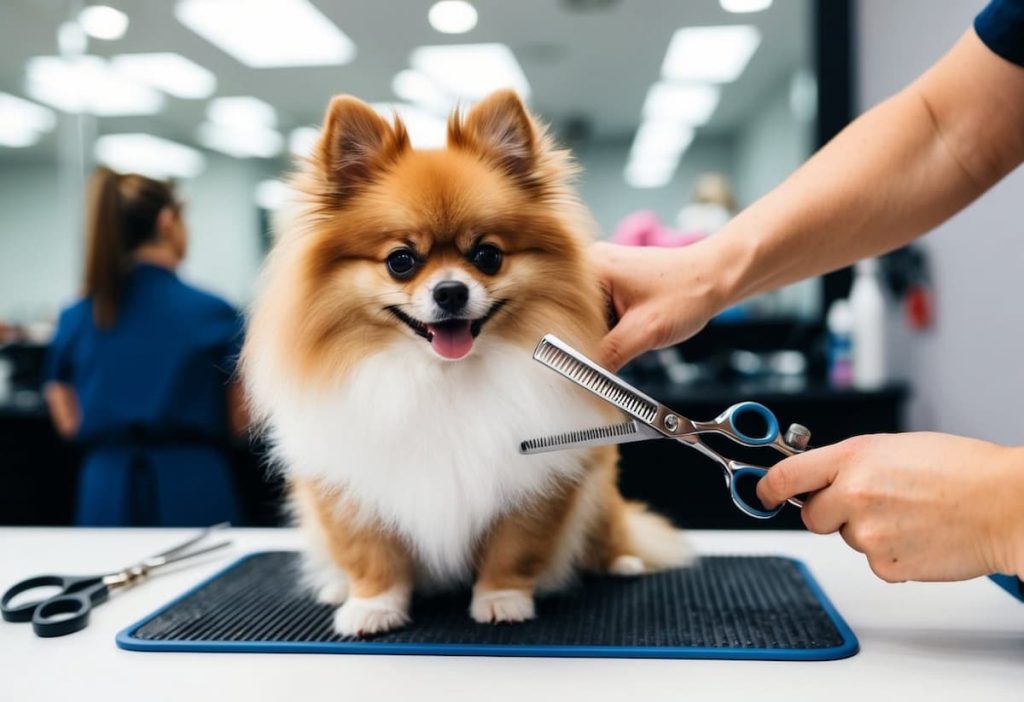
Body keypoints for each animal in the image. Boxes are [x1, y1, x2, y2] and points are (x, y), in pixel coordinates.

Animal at [244, 89, 696, 638]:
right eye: (401, 261)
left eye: (487, 256)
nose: (451, 291)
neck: (441, 377)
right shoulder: (351, 487)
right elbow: (369, 554)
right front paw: (372, 606)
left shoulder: (537, 482)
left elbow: (514, 548)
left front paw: (502, 600)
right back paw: (335, 586)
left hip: (600, 497)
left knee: (609, 534)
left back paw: (621, 562)